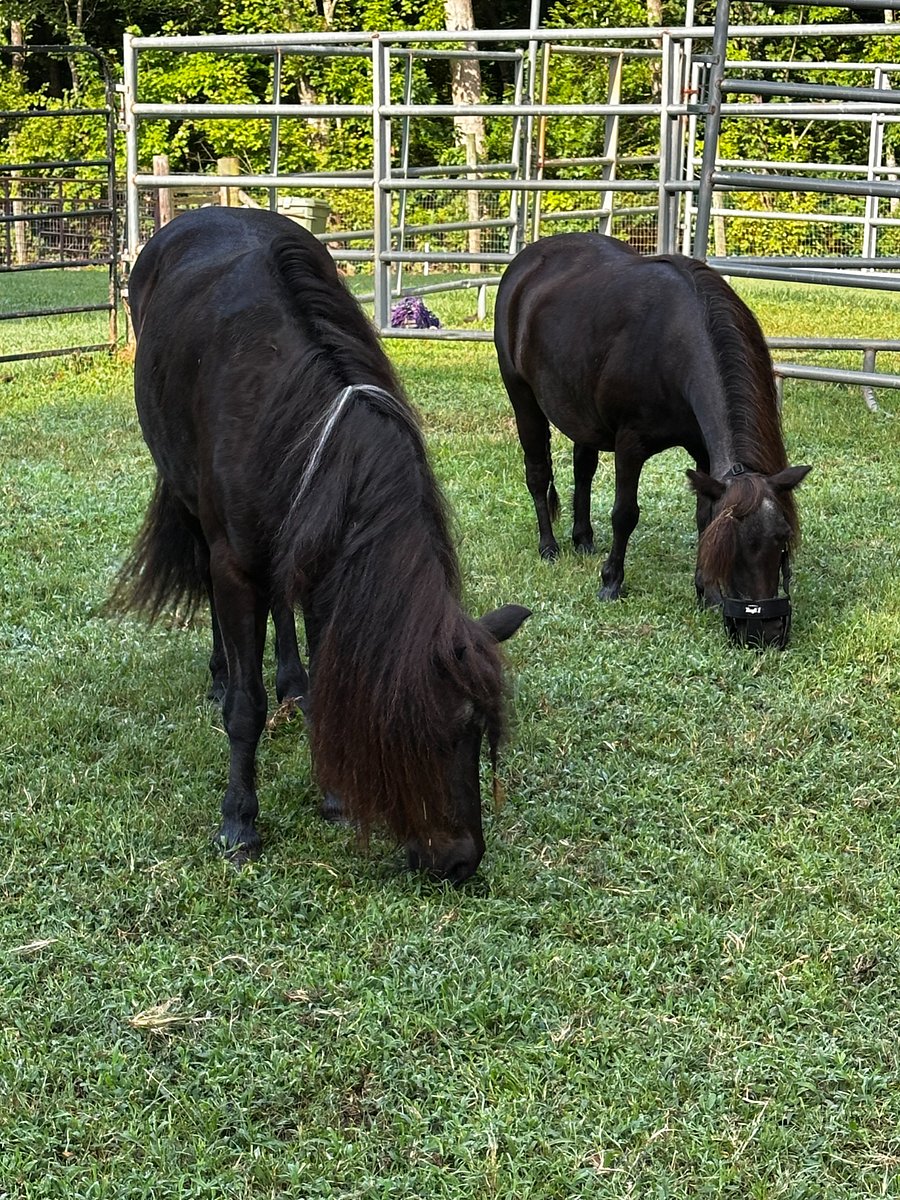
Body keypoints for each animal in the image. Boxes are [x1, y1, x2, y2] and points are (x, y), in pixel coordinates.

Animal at [112, 205, 530, 883]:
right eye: (419, 730)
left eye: (475, 731)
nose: (461, 861)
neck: (296, 415)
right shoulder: (235, 566)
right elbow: (246, 708)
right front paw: (240, 821)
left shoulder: (324, 551)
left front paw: (332, 790)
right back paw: (221, 675)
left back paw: (294, 684)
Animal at [493, 232, 811, 648]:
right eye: (733, 549)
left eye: (782, 539)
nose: (765, 633)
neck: (676, 342)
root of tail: (527, 260)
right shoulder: (631, 444)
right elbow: (625, 513)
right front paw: (611, 582)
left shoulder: (702, 453)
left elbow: (703, 515)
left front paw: (706, 592)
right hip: (523, 398)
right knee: (537, 472)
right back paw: (549, 546)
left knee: (583, 470)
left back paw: (583, 538)